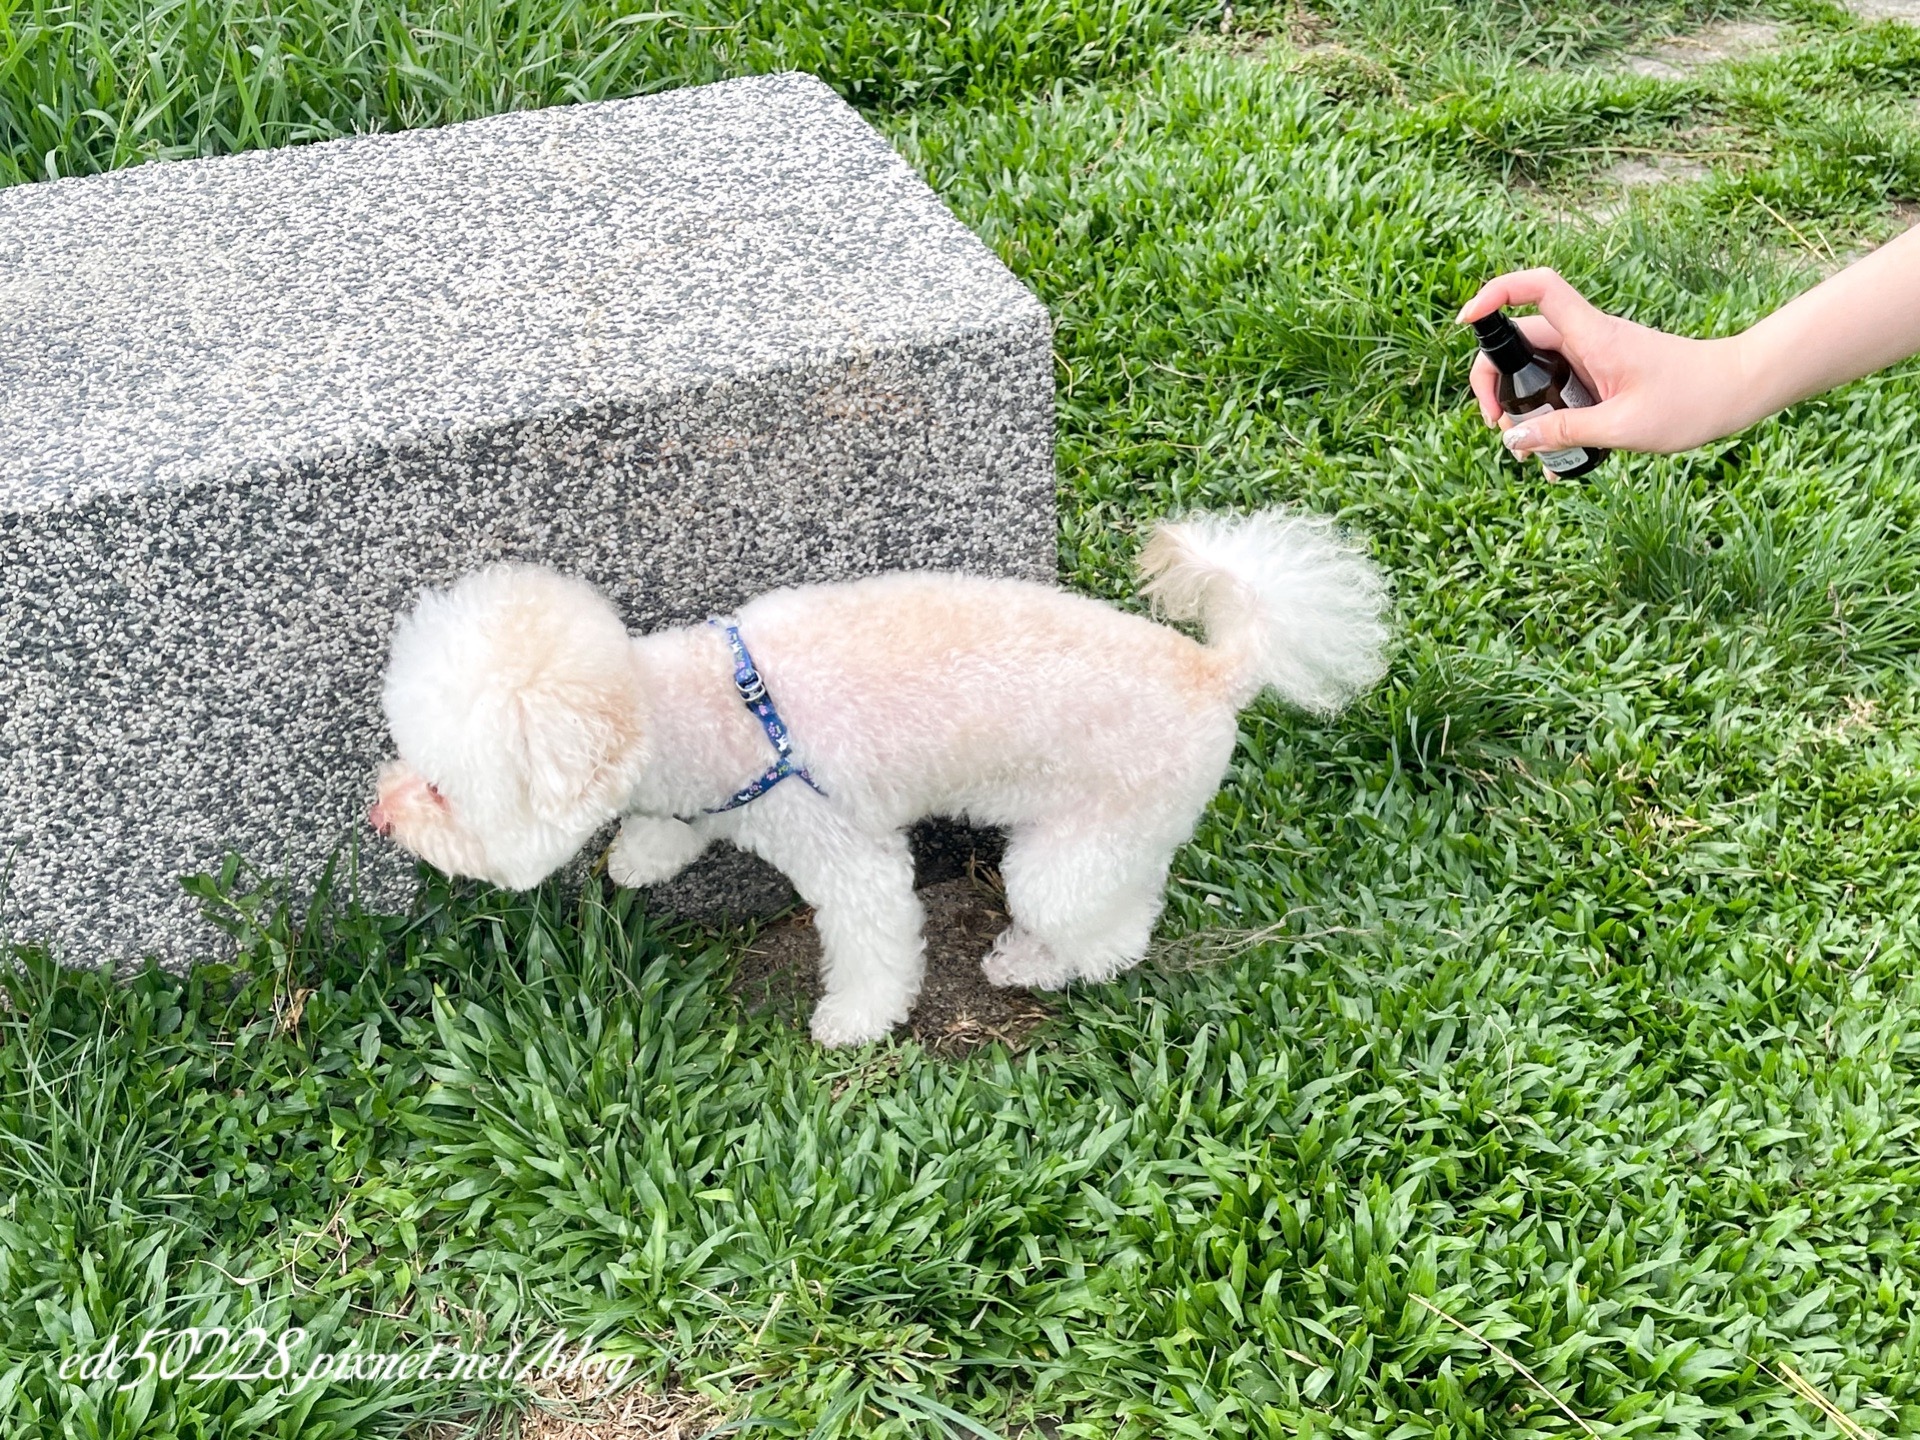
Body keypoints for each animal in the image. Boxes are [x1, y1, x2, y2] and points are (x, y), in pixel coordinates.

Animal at [370, 510, 1397, 1052]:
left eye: (442, 790)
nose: (380, 813)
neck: (707, 705)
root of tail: (1215, 670)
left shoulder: (839, 848)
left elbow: (872, 940)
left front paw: (853, 1021)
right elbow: (672, 825)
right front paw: (640, 857)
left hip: (1081, 845)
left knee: (1112, 926)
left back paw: (1036, 962)